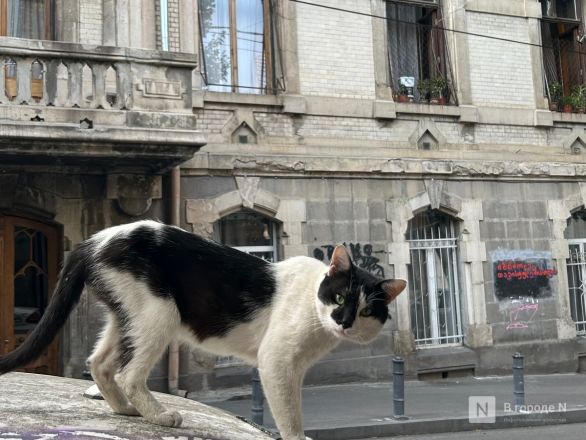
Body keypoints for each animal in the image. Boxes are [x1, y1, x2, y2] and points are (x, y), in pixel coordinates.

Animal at [0, 220, 404, 440]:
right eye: (339, 298)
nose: (344, 321)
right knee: (129, 374)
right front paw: (296, 434)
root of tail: (93, 241)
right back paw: (160, 415)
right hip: (159, 313)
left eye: (366, 311)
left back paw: (125, 410)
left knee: (99, 363)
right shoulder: (277, 363)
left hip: (127, 315)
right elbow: (290, 414)